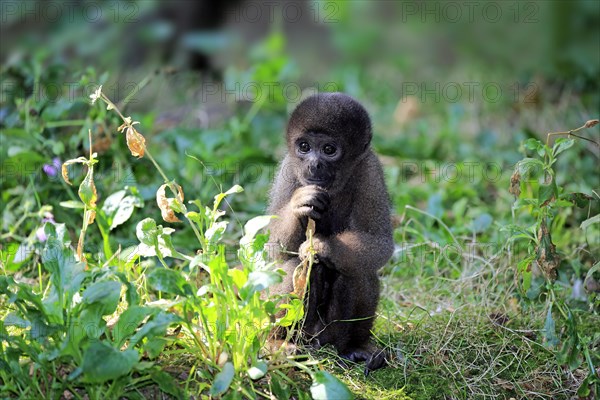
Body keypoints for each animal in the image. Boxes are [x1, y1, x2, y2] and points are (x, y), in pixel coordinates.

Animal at [268, 92, 394, 374]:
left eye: (329, 150)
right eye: (304, 147)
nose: (314, 165)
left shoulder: (370, 170)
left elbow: (380, 242)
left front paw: (322, 247)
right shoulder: (288, 170)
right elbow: (273, 249)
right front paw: (300, 205)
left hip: (330, 333)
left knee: (356, 270)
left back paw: (354, 347)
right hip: (302, 331)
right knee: (293, 266)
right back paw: (277, 344)